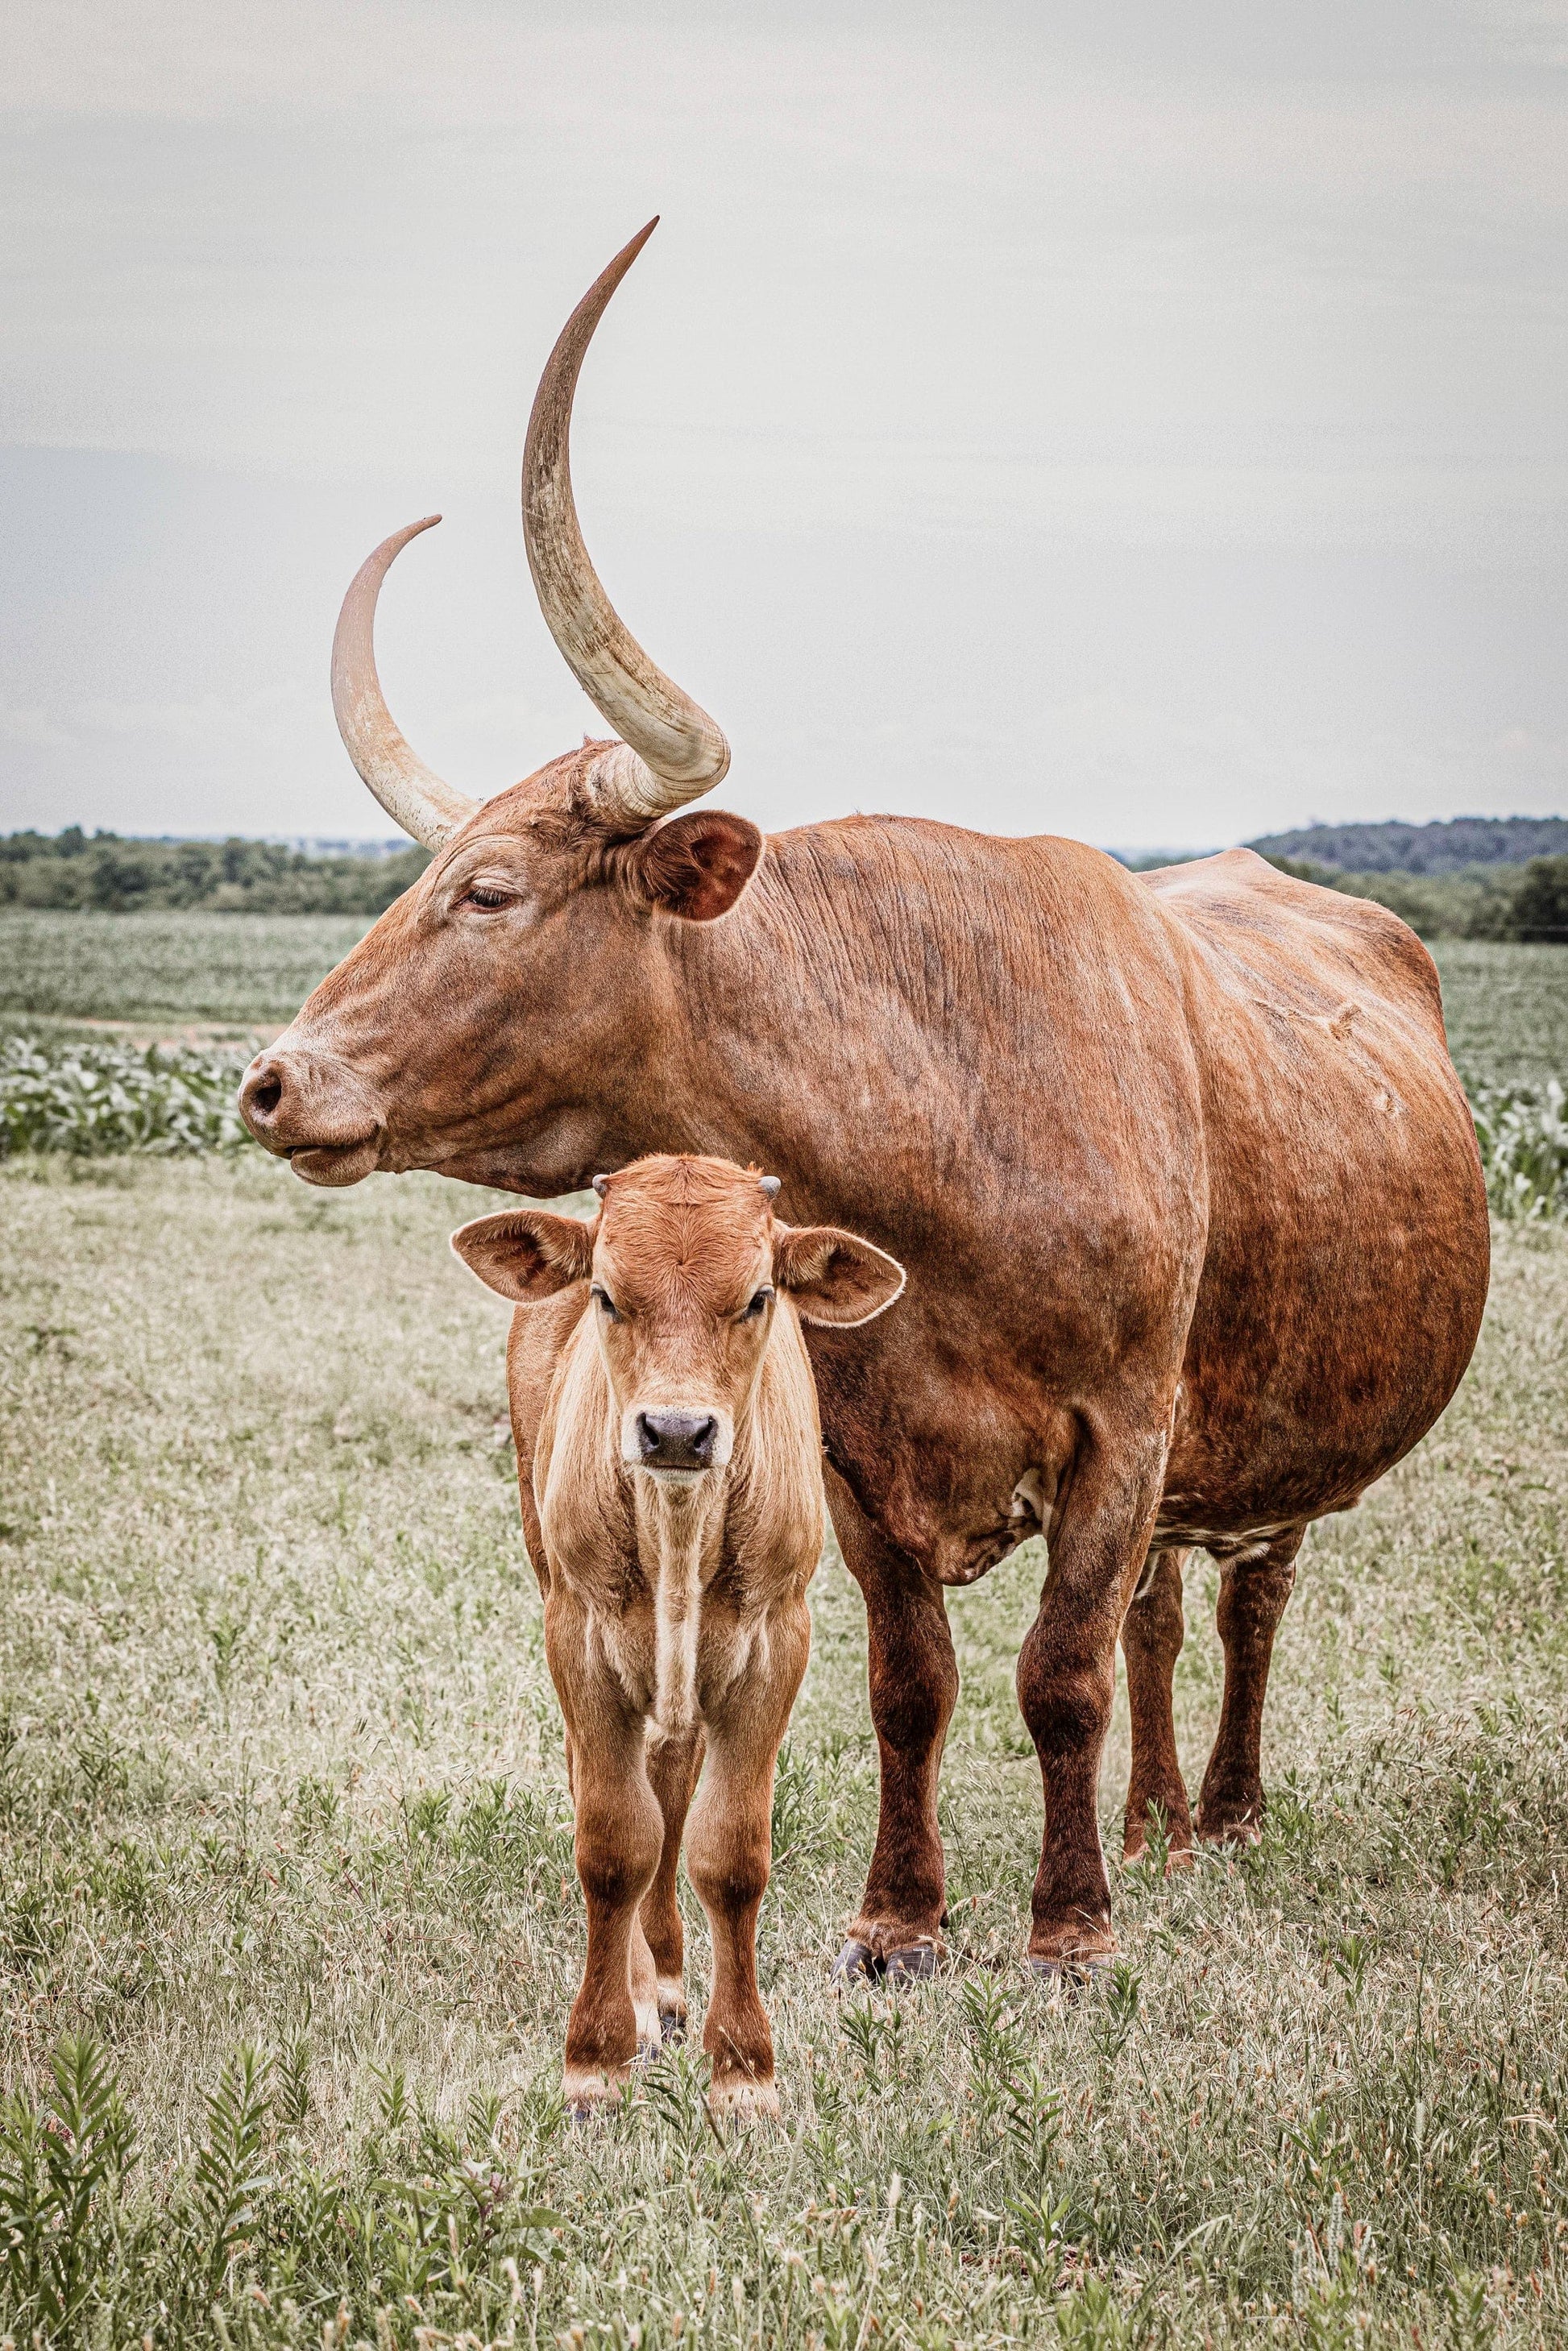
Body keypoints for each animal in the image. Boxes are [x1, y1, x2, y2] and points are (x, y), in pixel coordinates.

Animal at [239, 224, 1495, 1984]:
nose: (277, 1079)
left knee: (1243, 1602)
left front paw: (1067, 1931)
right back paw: (1162, 1822)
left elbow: (1057, 1673)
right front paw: (902, 1919)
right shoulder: (855, 1462)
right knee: (1169, 1615)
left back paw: (1226, 1816)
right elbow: (916, 1682)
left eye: (488, 892)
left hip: (1263, 1437)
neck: (940, 1123)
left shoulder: (1123, 1430)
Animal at [451, 1151, 907, 2116]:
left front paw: (742, 2069)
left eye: (758, 1295)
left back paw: (662, 1986)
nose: (674, 1430)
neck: (678, 1524)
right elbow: (612, 1845)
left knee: (671, 1787)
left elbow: (725, 1853)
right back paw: (637, 1995)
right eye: (607, 1293)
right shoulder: (578, 1639)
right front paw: (594, 2057)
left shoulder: (774, 1645)